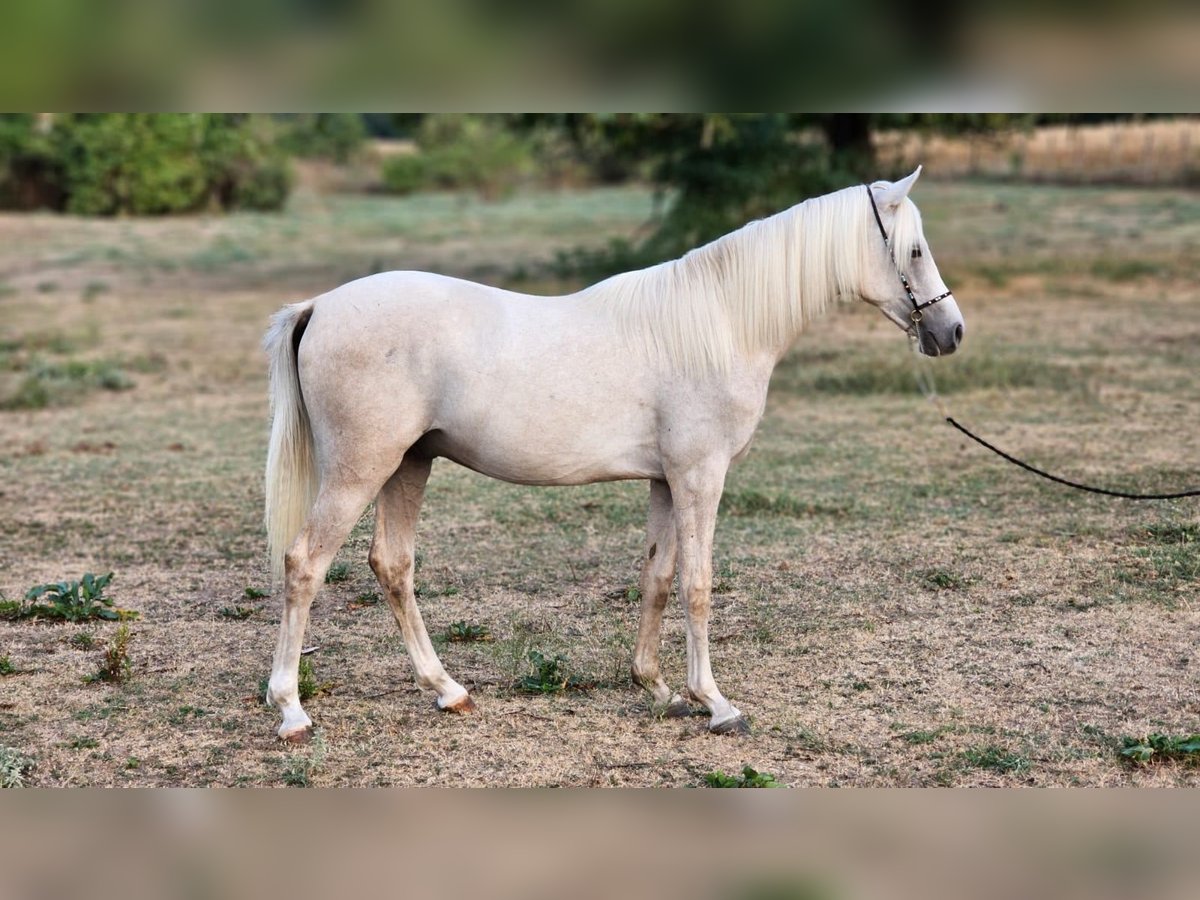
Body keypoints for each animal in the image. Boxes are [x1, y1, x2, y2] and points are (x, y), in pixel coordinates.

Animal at [258, 165, 960, 744]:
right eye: (914, 250)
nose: (950, 332)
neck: (720, 323)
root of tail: (319, 307)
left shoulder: (666, 482)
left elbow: (656, 578)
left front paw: (657, 687)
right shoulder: (701, 477)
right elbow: (697, 584)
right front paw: (716, 703)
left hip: (409, 464)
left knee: (392, 566)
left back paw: (448, 691)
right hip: (362, 470)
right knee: (305, 564)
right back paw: (291, 709)